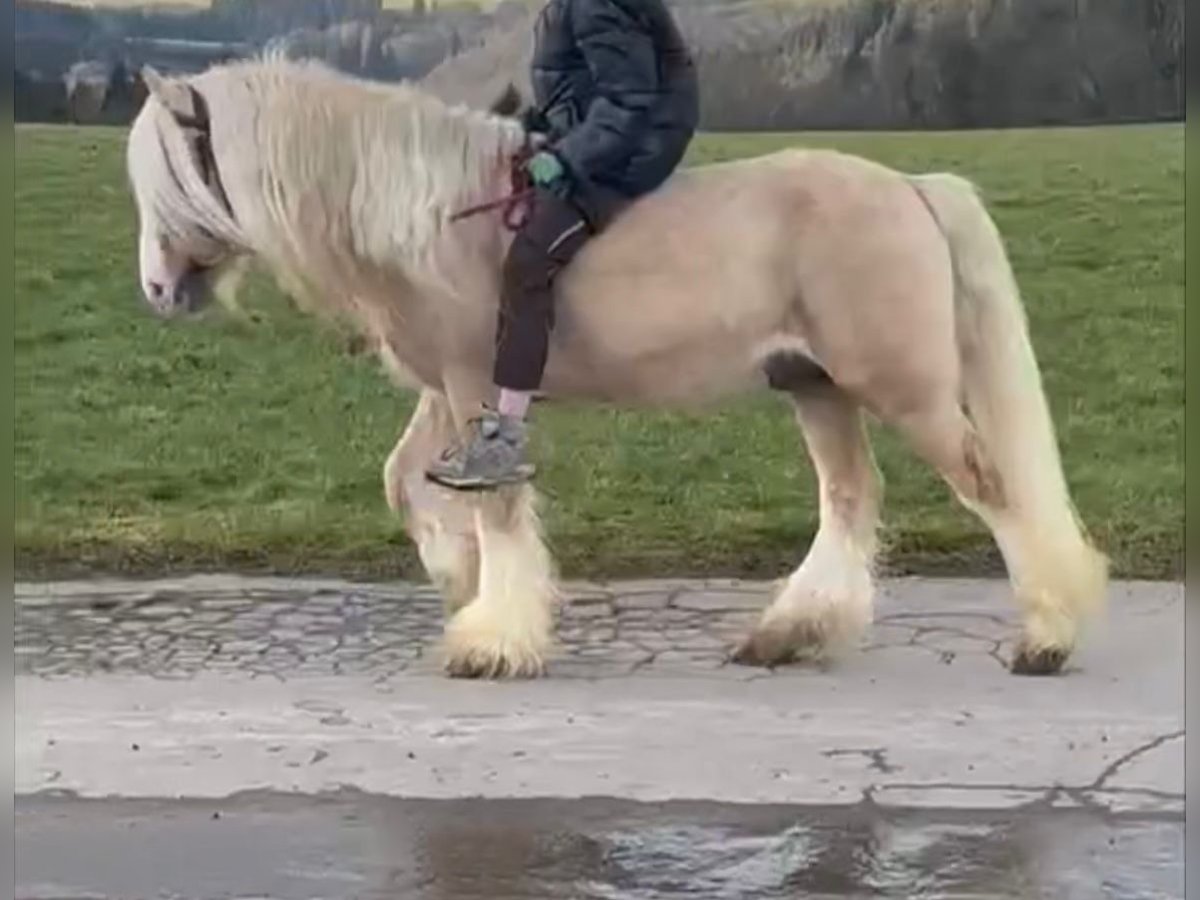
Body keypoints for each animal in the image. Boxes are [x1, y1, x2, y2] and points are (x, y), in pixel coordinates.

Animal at [126, 56, 1108, 681]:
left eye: (175, 173)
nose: (157, 291)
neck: (435, 216)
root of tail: (910, 187)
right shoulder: (448, 395)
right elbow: (407, 483)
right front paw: (461, 586)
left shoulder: (477, 389)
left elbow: (497, 507)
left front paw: (492, 639)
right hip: (816, 385)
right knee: (850, 498)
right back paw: (789, 634)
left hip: (906, 391)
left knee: (991, 488)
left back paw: (1046, 640)